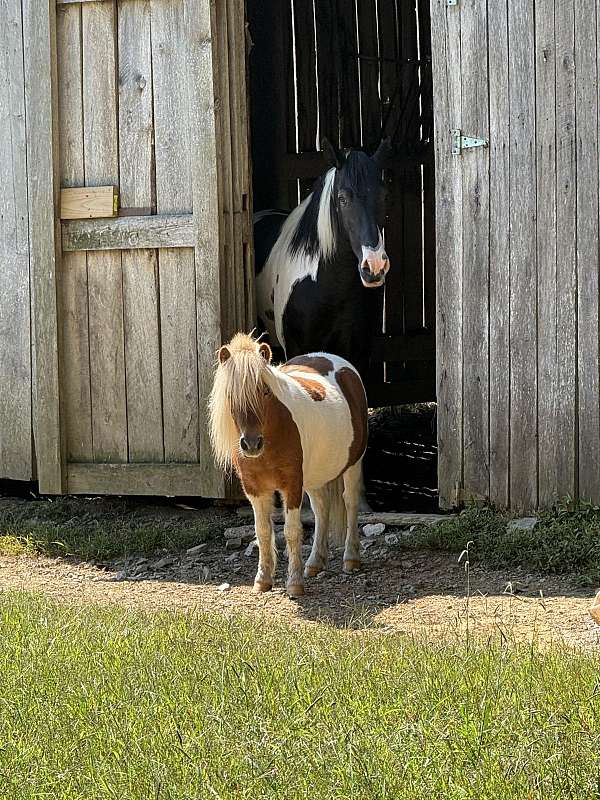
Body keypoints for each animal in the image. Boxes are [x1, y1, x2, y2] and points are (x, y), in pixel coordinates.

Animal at [208, 332, 368, 597]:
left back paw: (351, 559)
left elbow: (292, 532)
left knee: (350, 502)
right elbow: (263, 532)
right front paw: (262, 580)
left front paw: (294, 583)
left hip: (352, 465)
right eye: (231, 396)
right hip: (315, 476)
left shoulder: (292, 485)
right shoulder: (254, 489)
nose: (251, 444)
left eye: (264, 391)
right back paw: (314, 563)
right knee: (321, 509)